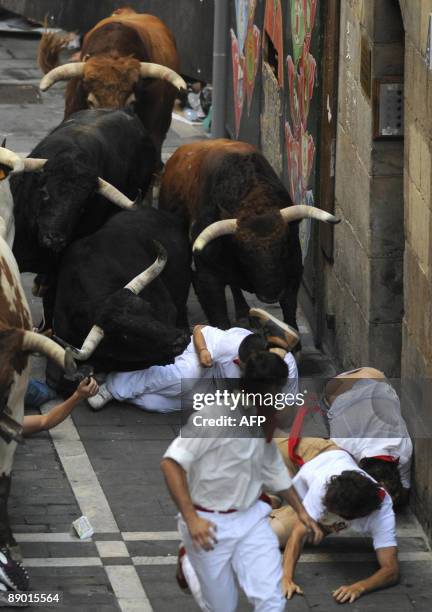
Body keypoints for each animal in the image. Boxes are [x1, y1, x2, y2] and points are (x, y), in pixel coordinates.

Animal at [159, 140, 340, 330]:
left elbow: (290, 314)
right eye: (245, 254)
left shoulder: (294, 271)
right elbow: (221, 321)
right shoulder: (207, 278)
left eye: (283, 248)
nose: (271, 295)